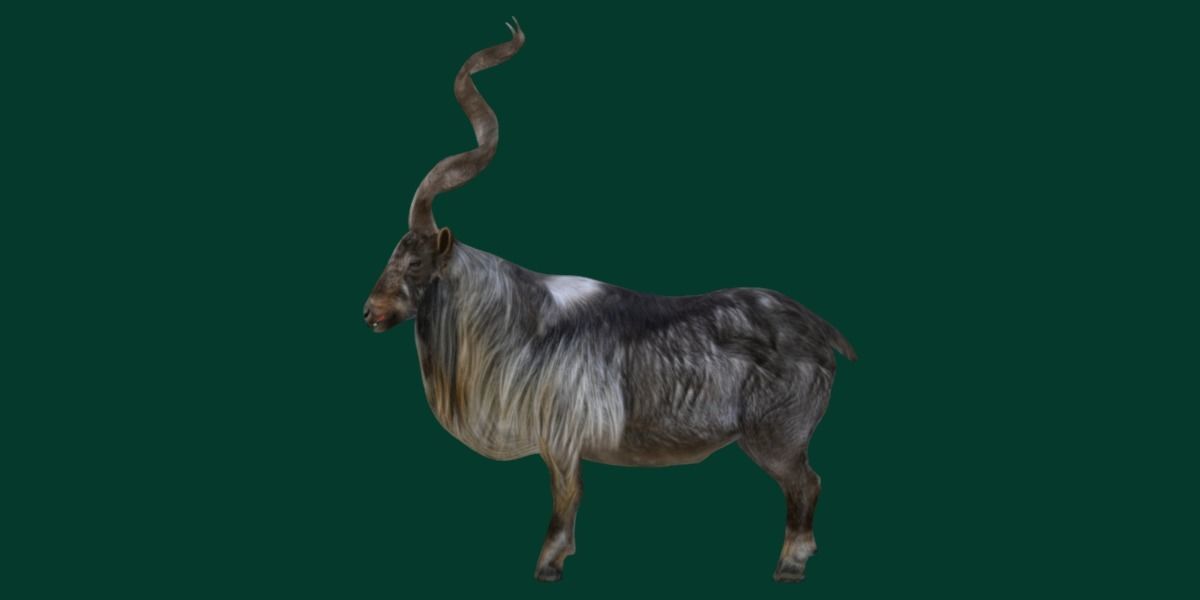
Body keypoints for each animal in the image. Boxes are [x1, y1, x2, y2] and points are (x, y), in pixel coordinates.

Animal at [363, 19, 856, 582]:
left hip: (777, 436)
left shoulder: (561, 438)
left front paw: (549, 565)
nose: (371, 312)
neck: (519, 325)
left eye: (415, 264)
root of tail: (822, 331)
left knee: (806, 484)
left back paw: (789, 565)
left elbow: (566, 497)